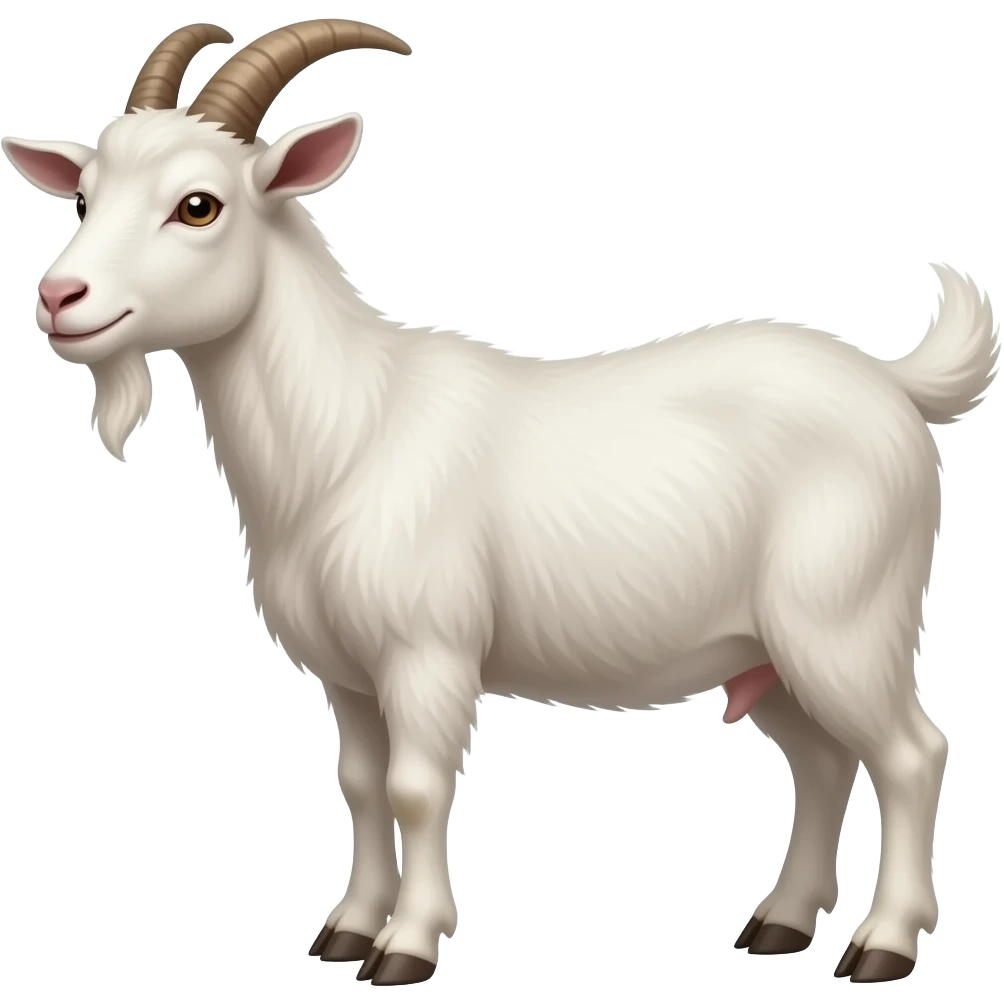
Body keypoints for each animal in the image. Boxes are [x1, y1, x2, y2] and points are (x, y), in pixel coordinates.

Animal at [3, 19, 998, 987]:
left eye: (199, 205)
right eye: (83, 197)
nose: (59, 296)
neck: (350, 428)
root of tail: (893, 387)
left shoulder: (427, 652)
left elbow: (414, 788)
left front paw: (406, 947)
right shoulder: (348, 674)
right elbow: (360, 784)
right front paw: (348, 931)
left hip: (843, 620)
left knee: (912, 753)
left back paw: (884, 946)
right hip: (766, 648)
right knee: (826, 761)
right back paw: (782, 925)